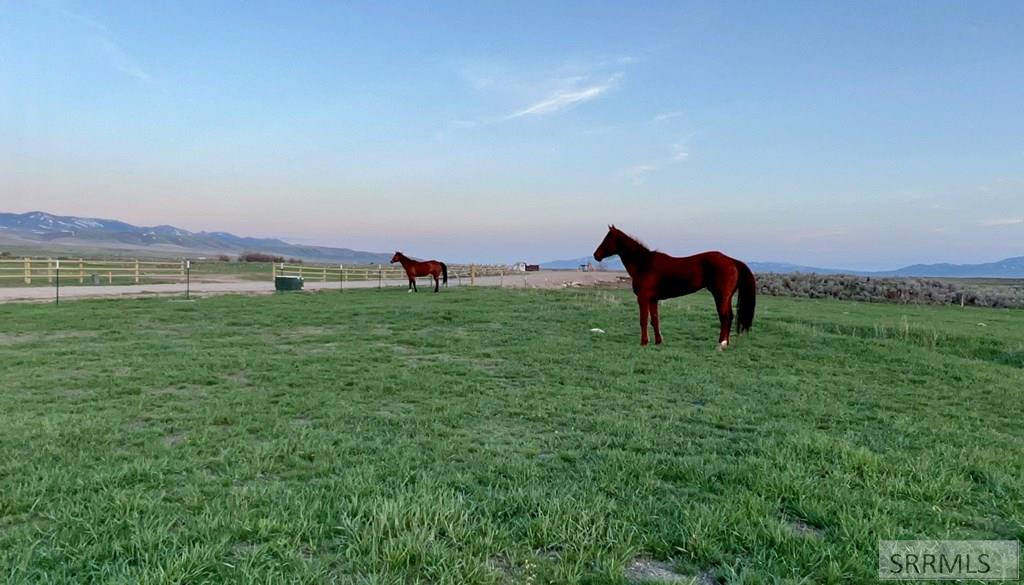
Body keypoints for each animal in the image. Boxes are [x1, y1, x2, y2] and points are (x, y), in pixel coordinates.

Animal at [598, 226, 757, 350]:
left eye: (607, 239)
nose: (596, 255)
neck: (644, 264)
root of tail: (732, 261)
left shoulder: (643, 299)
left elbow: (643, 320)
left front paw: (643, 342)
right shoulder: (653, 300)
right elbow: (655, 320)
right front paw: (658, 342)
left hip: (721, 296)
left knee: (725, 317)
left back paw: (720, 344)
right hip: (726, 297)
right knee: (729, 317)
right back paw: (726, 343)